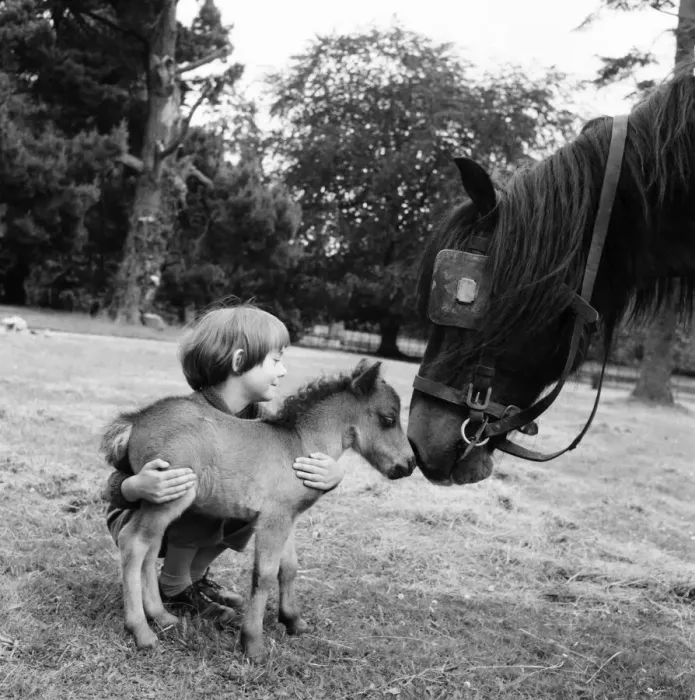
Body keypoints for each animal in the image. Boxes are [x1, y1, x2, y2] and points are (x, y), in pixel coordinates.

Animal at [101, 359, 415, 659]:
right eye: (388, 419)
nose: (409, 464)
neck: (298, 445)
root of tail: (135, 421)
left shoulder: (288, 517)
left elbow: (289, 568)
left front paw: (294, 622)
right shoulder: (273, 519)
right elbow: (263, 575)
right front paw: (252, 644)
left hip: (161, 502)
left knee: (150, 545)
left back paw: (163, 616)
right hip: (170, 495)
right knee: (133, 542)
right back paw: (142, 632)